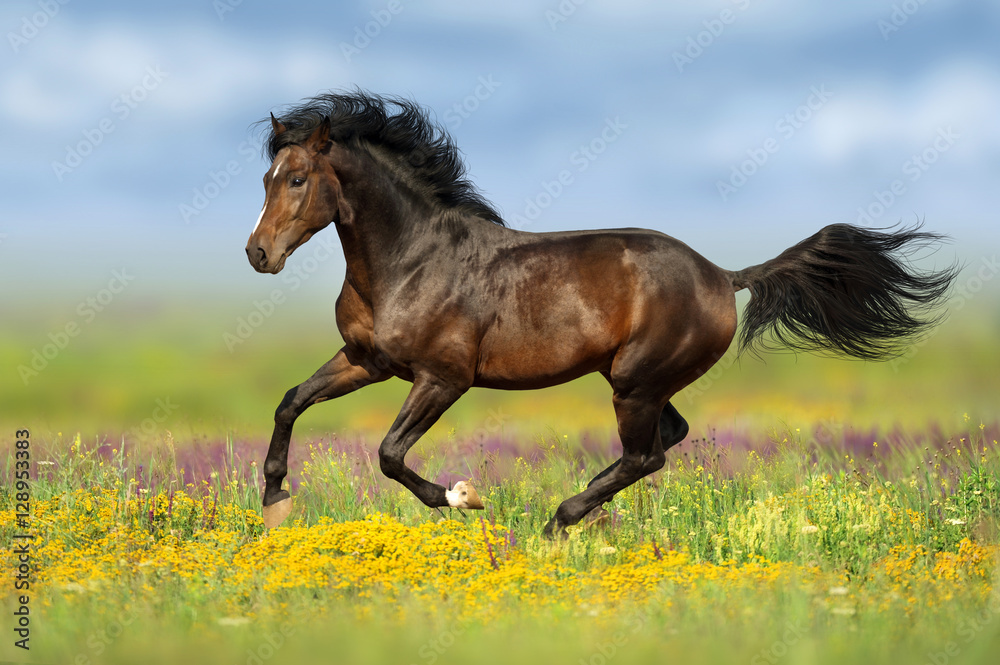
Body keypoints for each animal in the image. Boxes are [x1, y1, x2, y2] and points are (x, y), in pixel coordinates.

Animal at [245, 90, 957, 537]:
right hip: (639, 381)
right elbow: (288, 402)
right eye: (267, 178)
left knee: (646, 457)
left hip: (634, 384)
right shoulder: (367, 360)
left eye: (299, 179)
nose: (258, 253)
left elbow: (391, 454)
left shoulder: (443, 378)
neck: (412, 260)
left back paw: (556, 522)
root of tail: (723, 276)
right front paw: (276, 501)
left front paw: (462, 498)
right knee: (666, 440)